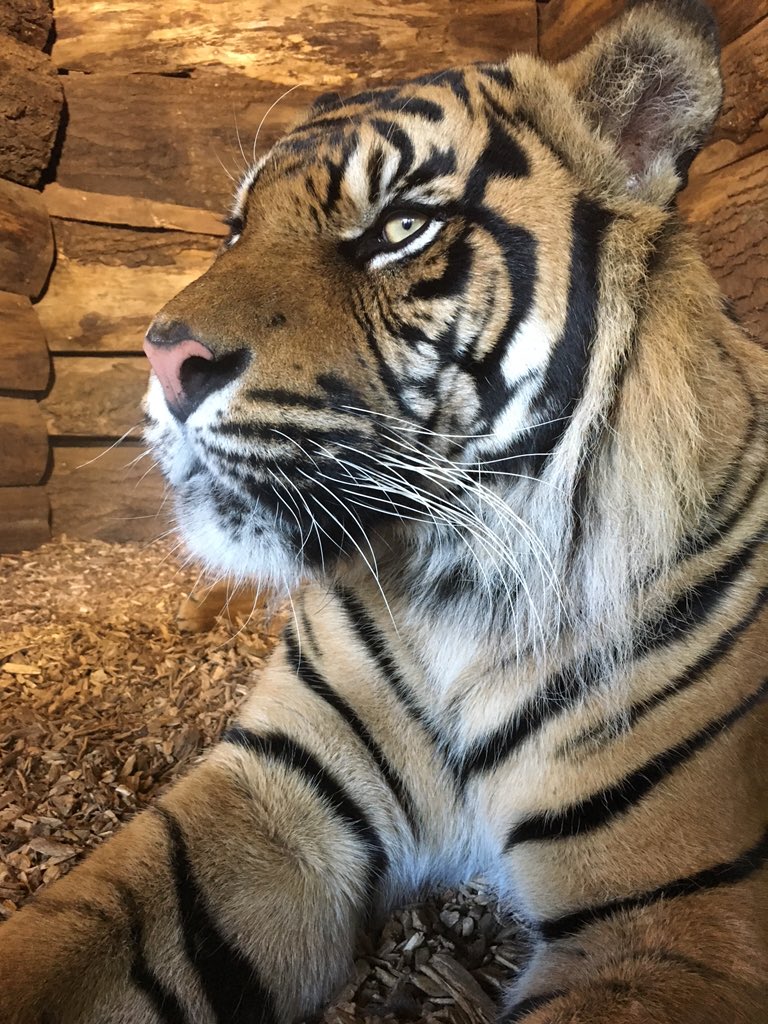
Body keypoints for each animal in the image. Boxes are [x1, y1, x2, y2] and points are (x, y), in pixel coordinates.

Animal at [1, 0, 766, 1021]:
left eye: (401, 225)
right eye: (236, 231)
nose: (162, 361)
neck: (453, 591)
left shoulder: (678, 917)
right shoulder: (277, 792)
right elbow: (74, 932)